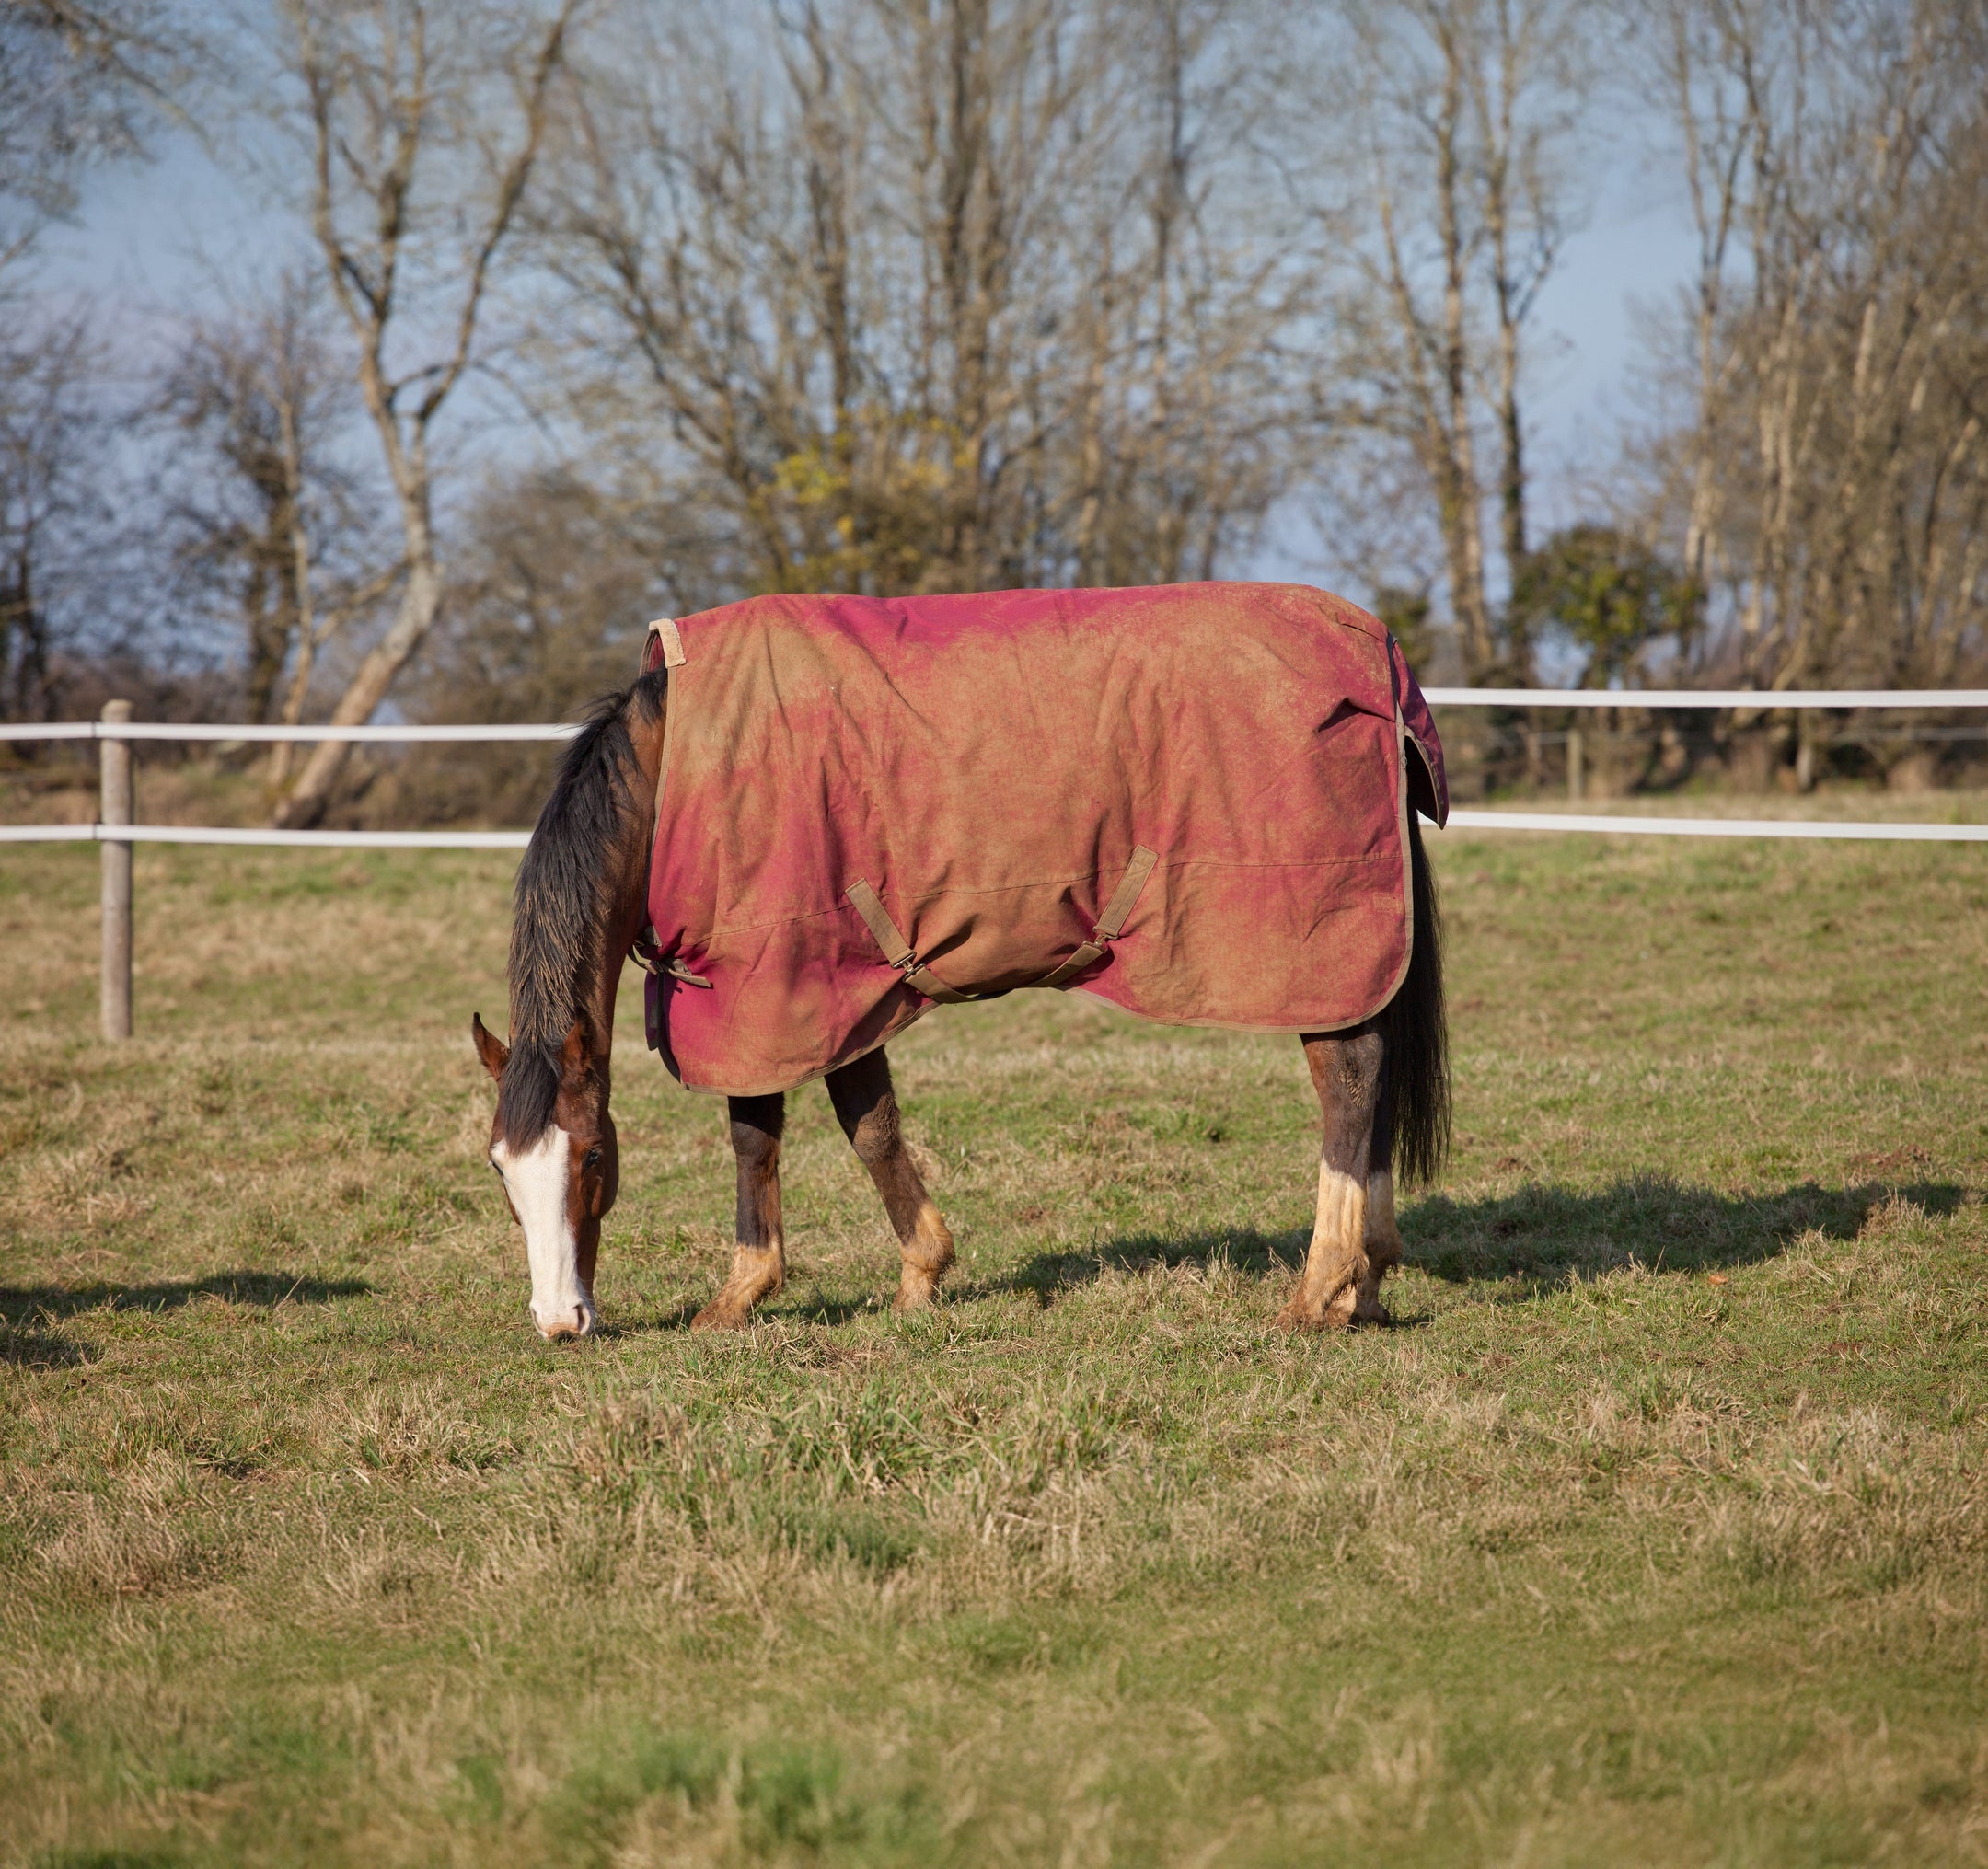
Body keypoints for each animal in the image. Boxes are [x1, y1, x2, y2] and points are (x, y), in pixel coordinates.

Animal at [471, 584, 1449, 1340]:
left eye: (595, 1157)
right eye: (500, 1169)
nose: (561, 1322)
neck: (682, 767)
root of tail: (1373, 651)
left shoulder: (780, 992)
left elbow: (781, 1134)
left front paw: (754, 1292)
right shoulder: (828, 992)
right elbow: (854, 1126)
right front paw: (912, 1275)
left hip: (1316, 947)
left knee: (1349, 1079)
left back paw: (1320, 1287)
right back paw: (1366, 1279)